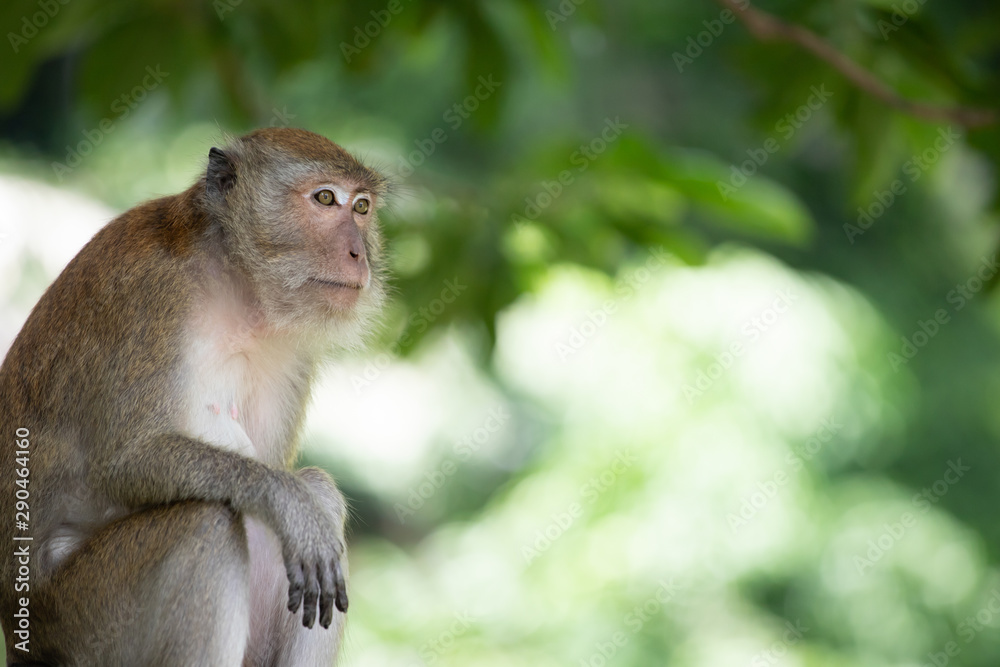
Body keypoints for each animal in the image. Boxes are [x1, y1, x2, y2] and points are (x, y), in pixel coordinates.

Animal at [0, 128, 388, 664]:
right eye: (326, 199)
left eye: (363, 207)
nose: (358, 254)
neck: (232, 279)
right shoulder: (150, 297)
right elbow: (125, 461)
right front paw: (288, 501)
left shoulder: (290, 352)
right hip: (81, 625)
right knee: (205, 524)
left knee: (315, 496)